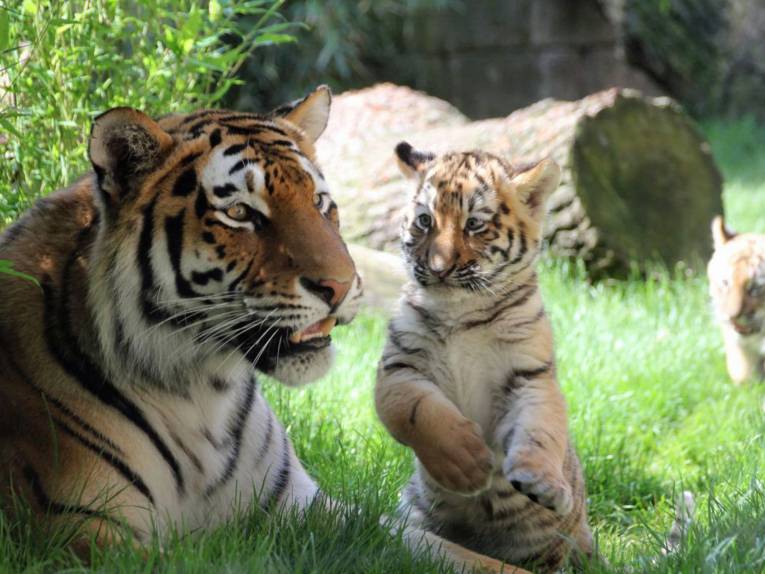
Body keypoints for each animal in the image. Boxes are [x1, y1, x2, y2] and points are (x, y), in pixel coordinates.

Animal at [0, 87, 511, 572]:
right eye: (241, 213)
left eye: (319, 202)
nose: (341, 285)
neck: (200, 394)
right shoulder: (83, 533)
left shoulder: (303, 505)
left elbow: (464, 556)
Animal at [375, 143, 593, 572]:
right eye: (425, 220)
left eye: (475, 224)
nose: (439, 268)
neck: (461, 311)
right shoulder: (398, 368)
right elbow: (417, 411)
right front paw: (467, 464)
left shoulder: (531, 376)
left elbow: (541, 429)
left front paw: (544, 484)